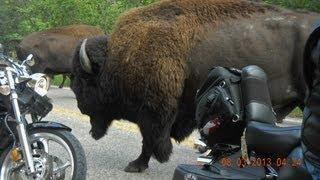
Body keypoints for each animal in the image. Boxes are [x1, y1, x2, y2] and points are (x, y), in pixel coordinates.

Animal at [70, 0, 320, 173]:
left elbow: (149, 138)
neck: (120, 57)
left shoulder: (154, 110)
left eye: (83, 80)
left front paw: (136, 165)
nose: (80, 107)